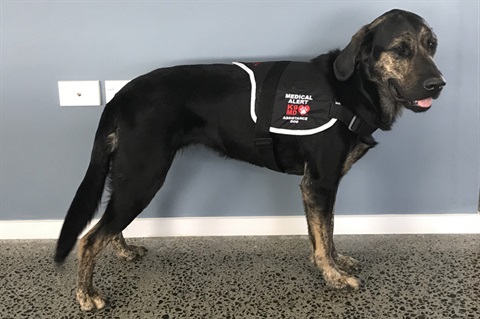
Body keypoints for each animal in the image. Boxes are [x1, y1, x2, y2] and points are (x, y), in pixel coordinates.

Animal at [54, 8, 444, 312]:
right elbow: (323, 237)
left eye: (432, 46)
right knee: (90, 238)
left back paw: (122, 251)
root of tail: (119, 96)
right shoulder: (319, 183)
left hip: (130, 178)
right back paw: (86, 295)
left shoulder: (321, 187)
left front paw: (336, 261)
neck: (353, 89)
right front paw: (332, 275)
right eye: (401, 49)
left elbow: (328, 232)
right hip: (144, 177)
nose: (437, 85)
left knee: (109, 224)